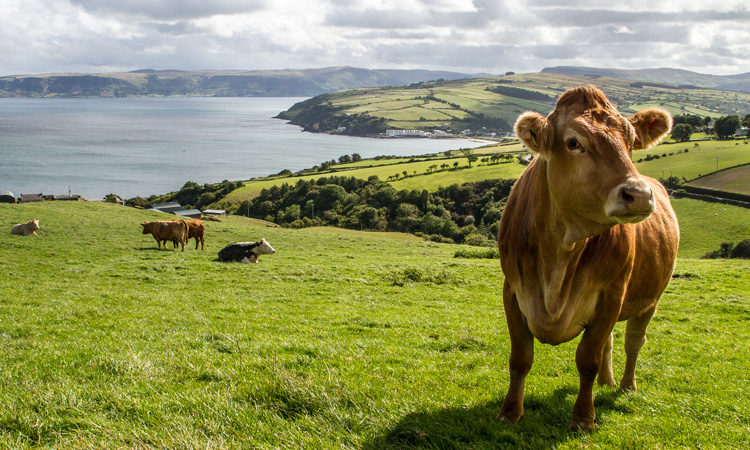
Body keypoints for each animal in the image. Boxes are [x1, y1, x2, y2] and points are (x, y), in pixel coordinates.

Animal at [500, 85, 680, 432]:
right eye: (574, 142)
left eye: (631, 141)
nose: (639, 194)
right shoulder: (512, 291)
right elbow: (520, 358)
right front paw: (510, 413)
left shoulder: (611, 294)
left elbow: (587, 360)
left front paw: (583, 418)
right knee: (610, 341)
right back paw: (607, 383)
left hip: (650, 299)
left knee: (633, 340)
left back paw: (625, 386)